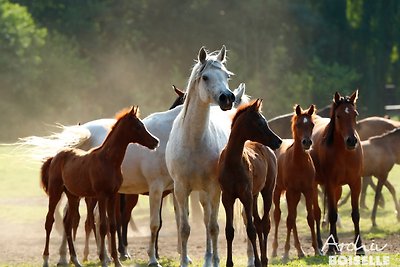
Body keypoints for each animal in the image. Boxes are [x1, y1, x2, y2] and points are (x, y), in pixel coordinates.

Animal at [40, 107, 159, 267]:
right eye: (138, 126)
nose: (155, 142)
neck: (108, 160)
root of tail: (55, 157)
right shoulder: (102, 195)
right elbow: (102, 226)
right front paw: (103, 259)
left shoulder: (113, 195)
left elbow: (112, 225)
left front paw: (116, 261)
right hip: (55, 192)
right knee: (49, 221)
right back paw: (46, 260)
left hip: (73, 196)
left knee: (68, 223)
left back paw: (76, 260)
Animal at [166, 45, 238, 266]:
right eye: (205, 77)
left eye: (227, 75)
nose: (227, 98)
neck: (194, 141)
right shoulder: (181, 189)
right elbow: (184, 228)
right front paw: (183, 261)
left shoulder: (214, 188)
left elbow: (213, 227)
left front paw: (215, 260)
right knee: (205, 219)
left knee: (209, 222)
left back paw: (211, 258)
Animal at [219, 99, 282, 266]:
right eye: (260, 123)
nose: (278, 141)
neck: (233, 163)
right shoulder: (227, 198)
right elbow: (229, 231)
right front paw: (229, 263)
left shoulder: (245, 196)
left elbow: (251, 230)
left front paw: (258, 262)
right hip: (254, 196)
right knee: (259, 222)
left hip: (267, 191)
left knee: (265, 224)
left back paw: (264, 260)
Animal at [270, 104, 320, 262]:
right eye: (298, 124)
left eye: (312, 124)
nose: (307, 142)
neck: (298, 162)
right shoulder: (290, 191)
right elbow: (289, 220)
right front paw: (285, 253)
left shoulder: (308, 190)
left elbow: (309, 218)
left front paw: (317, 250)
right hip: (278, 191)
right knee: (278, 216)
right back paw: (275, 250)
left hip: (297, 194)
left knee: (293, 217)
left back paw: (300, 251)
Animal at [310, 91, 364, 256]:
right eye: (338, 116)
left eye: (355, 114)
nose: (351, 141)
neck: (344, 153)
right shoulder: (330, 183)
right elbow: (332, 215)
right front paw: (331, 248)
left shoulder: (356, 183)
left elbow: (355, 215)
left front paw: (360, 248)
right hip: (316, 186)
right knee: (318, 213)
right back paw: (323, 245)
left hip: (337, 188)